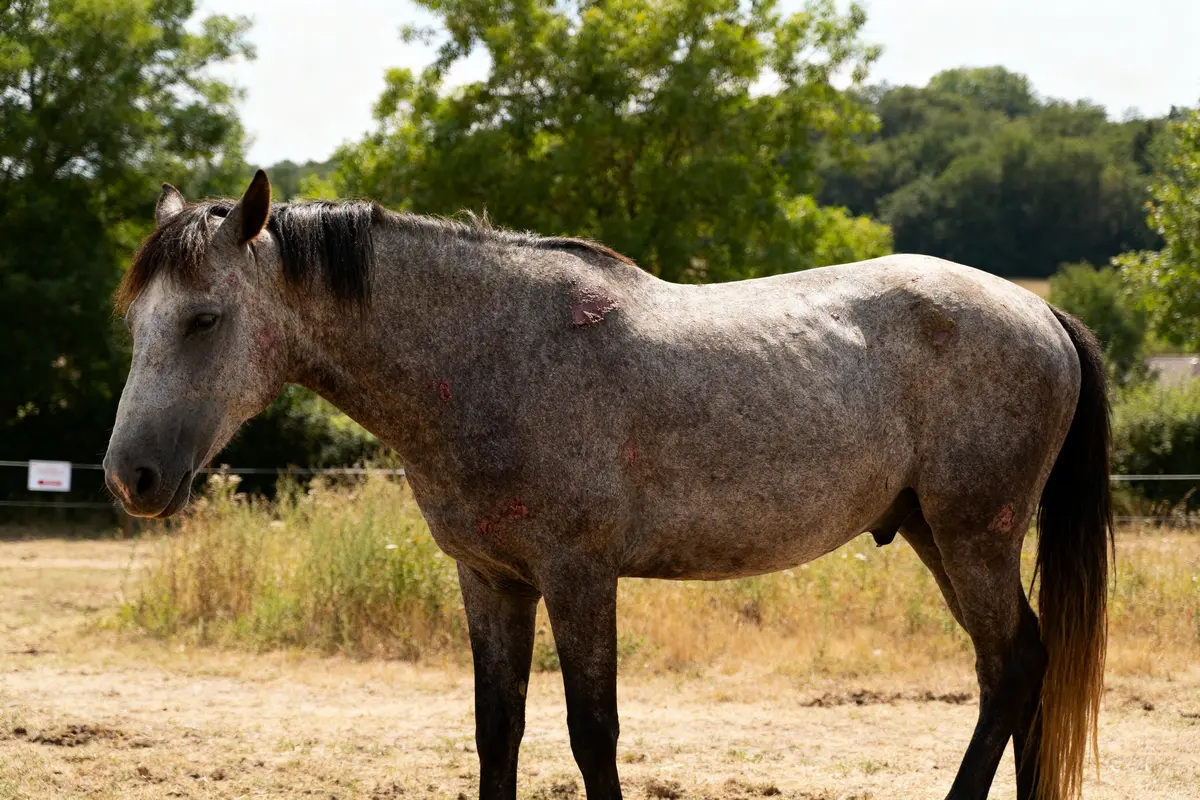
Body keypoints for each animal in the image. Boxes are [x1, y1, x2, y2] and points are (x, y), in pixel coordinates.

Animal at [104, 171, 1111, 800]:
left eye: (204, 319)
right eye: (137, 320)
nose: (130, 475)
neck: (489, 355)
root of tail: (1040, 311)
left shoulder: (579, 576)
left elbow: (593, 733)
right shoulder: (491, 580)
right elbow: (497, 729)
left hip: (976, 535)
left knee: (1014, 666)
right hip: (942, 537)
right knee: (1015, 665)